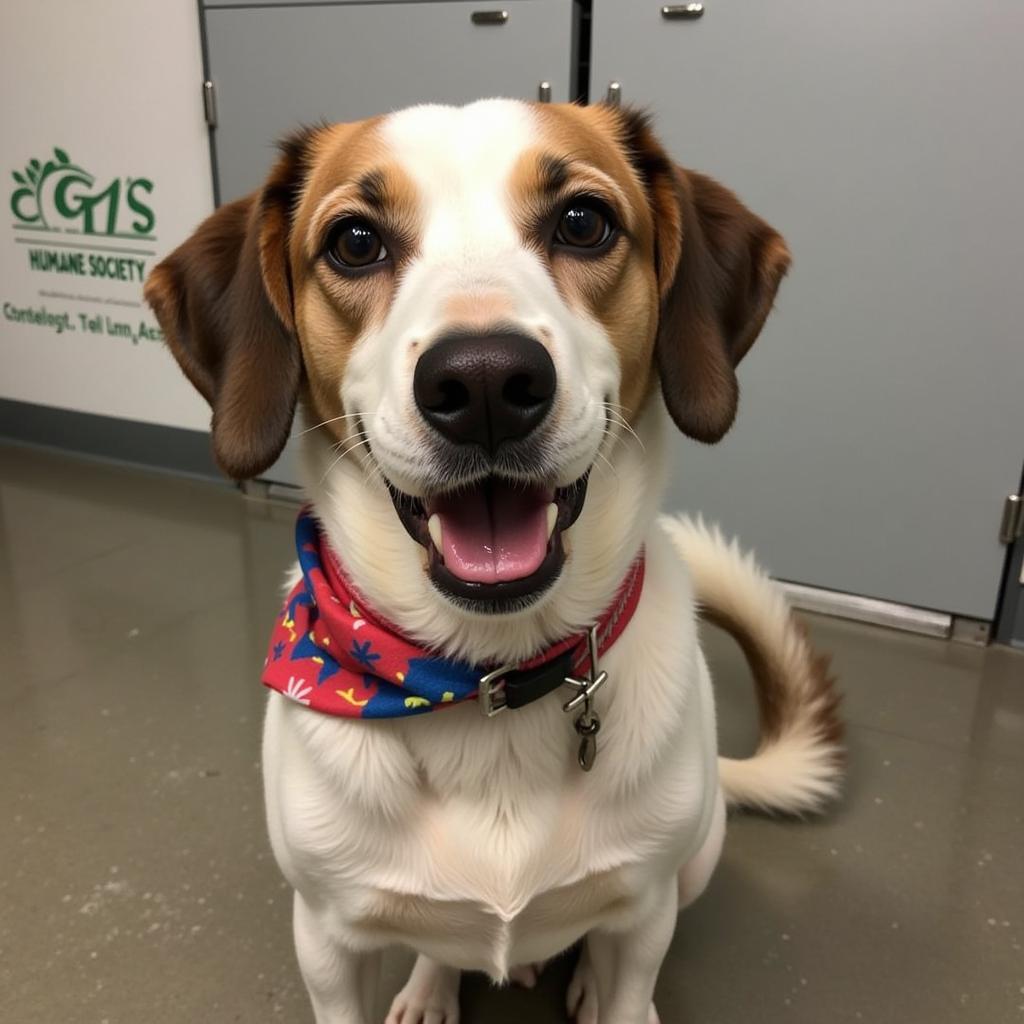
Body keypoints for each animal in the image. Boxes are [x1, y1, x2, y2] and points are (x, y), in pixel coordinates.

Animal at [146, 97, 847, 1024]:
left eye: (583, 222)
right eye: (355, 242)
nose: (483, 382)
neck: (483, 678)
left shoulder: (648, 912)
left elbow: (628, 973)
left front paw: (608, 991)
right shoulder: (324, 940)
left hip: (693, 860)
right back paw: (429, 987)